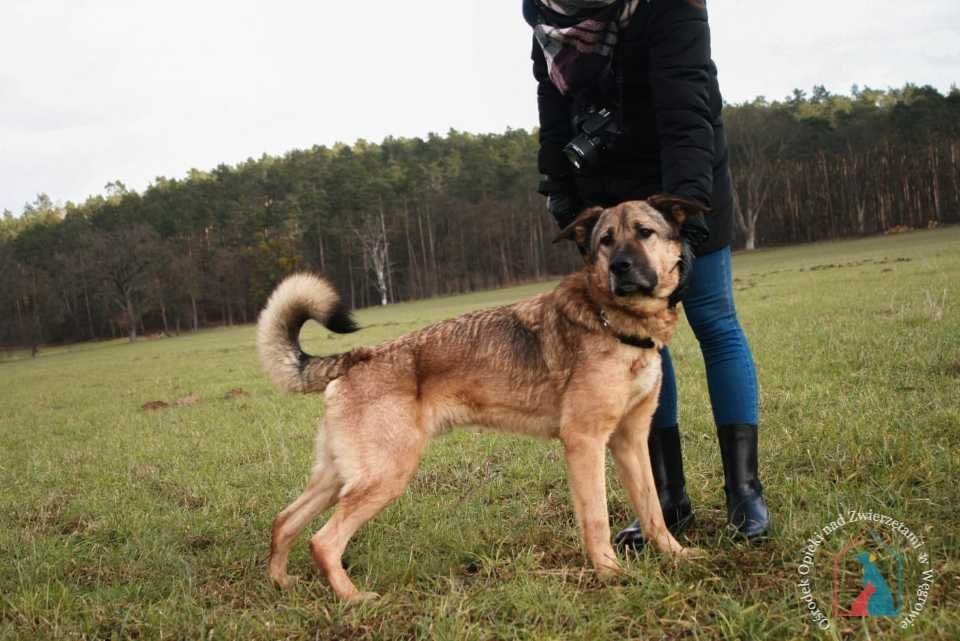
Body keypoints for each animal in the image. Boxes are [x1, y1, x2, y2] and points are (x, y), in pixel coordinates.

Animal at [258, 194, 708, 600]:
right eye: (606, 241)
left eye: (644, 233)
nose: (620, 267)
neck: (615, 321)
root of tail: (356, 357)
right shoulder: (585, 442)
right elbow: (596, 518)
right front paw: (611, 575)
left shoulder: (630, 440)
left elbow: (653, 511)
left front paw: (677, 557)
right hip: (384, 477)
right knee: (322, 541)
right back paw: (353, 599)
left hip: (339, 478)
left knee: (284, 522)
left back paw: (282, 583)